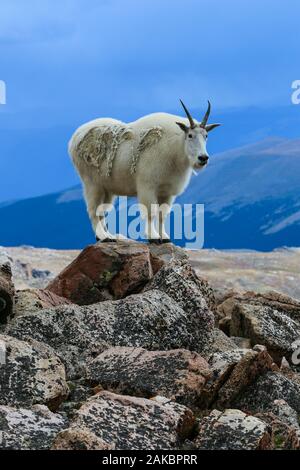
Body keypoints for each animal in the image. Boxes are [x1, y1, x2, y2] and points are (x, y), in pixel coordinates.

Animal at [69, 102, 220, 242]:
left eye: (206, 135)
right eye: (190, 135)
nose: (203, 158)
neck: (176, 148)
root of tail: (74, 137)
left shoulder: (167, 192)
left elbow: (162, 214)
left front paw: (164, 237)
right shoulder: (148, 185)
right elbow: (150, 212)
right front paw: (153, 237)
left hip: (107, 188)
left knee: (102, 211)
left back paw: (108, 235)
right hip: (92, 183)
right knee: (93, 210)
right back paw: (104, 236)